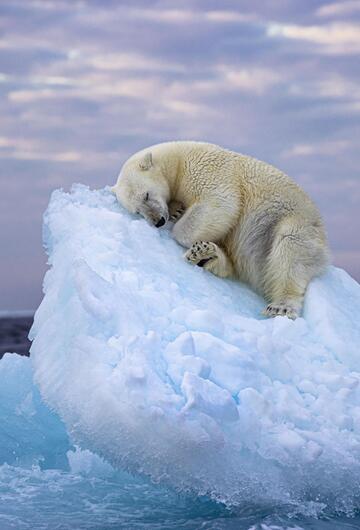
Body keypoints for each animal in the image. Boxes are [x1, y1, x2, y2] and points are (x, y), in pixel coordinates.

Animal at [113, 140, 330, 318]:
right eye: (137, 211)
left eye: (146, 195)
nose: (158, 221)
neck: (177, 160)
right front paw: (177, 210)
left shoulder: (205, 169)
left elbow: (221, 203)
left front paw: (179, 222)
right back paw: (205, 254)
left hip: (293, 221)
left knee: (290, 250)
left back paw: (281, 306)